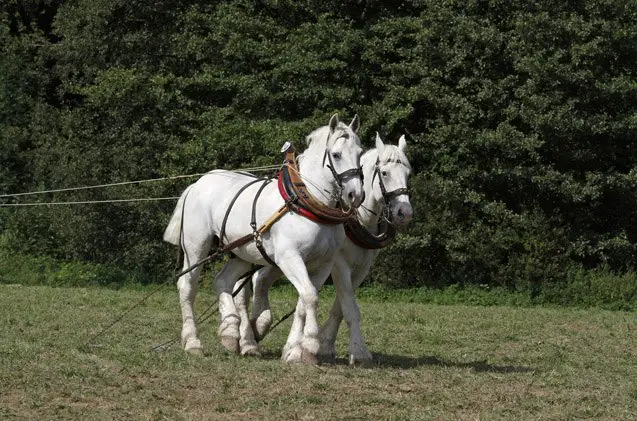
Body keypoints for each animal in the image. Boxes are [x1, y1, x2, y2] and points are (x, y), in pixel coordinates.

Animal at [164, 113, 362, 362]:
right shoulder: (290, 258)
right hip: (196, 247)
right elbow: (310, 296)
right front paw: (309, 345)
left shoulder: (323, 264)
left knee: (223, 281)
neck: (307, 203)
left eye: (360, 153)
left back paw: (230, 331)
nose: (356, 194)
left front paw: (296, 350)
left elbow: (305, 300)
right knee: (187, 286)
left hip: (240, 252)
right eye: (336, 155)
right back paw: (193, 342)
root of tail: (196, 184)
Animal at [242, 134, 412, 364]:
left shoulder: (361, 267)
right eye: (384, 173)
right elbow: (348, 307)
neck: (357, 219)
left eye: (408, 173)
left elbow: (340, 307)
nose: (405, 212)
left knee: (260, 279)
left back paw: (258, 325)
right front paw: (357, 351)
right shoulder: (338, 263)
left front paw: (323, 344)